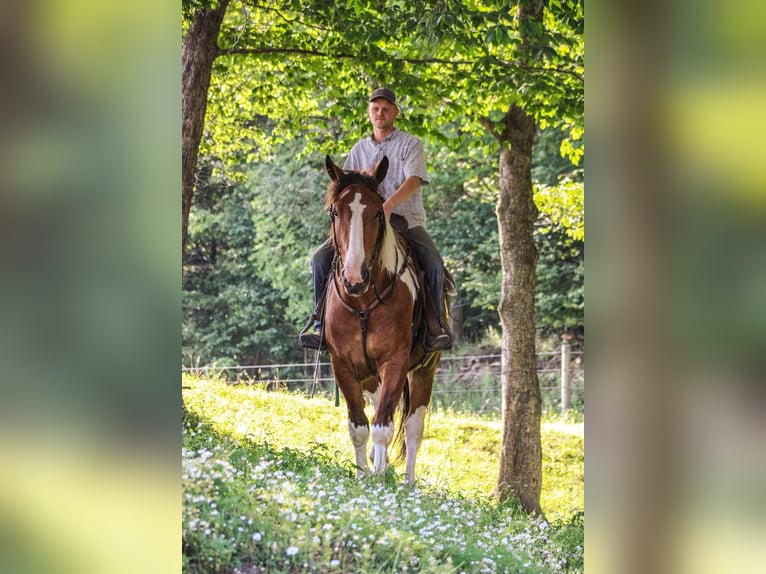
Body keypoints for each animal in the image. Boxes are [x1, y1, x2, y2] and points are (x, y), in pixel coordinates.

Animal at [322, 154, 444, 486]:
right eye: (335, 211)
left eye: (378, 213)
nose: (354, 278)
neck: (362, 302)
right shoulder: (343, 365)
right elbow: (359, 426)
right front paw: (363, 474)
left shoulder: (395, 362)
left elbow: (382, 428)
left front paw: (378, 479)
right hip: (370, 376)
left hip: (424, 370)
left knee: (413, 427)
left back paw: (408, 482)